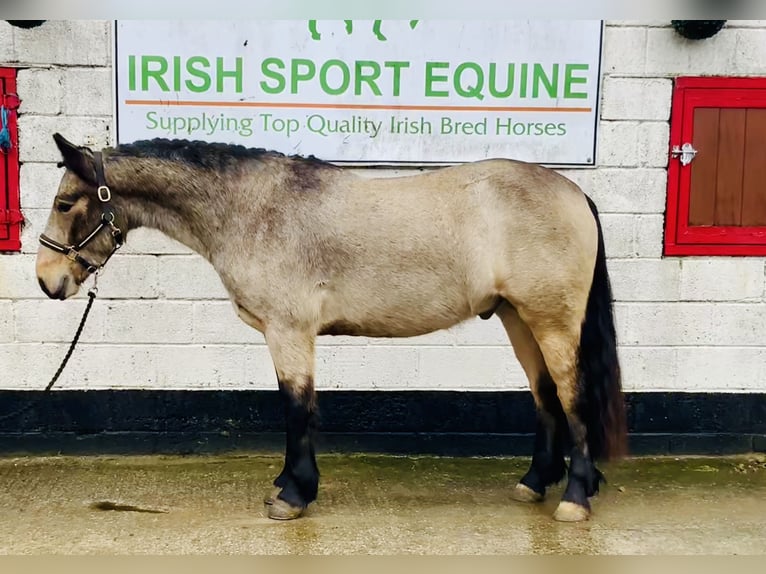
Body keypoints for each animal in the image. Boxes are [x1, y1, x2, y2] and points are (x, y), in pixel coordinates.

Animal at [36, 133, 627, 523]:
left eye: (64, 202)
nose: (47, 281)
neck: (253, 210)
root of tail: (574, 193)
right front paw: (287, 483)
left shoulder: (289, 331)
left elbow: (296, 408)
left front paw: (293, 495)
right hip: (517, 319)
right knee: (545, 397)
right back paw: (534, 484)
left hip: (552, 323)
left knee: (572, 398)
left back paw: (574, 499)